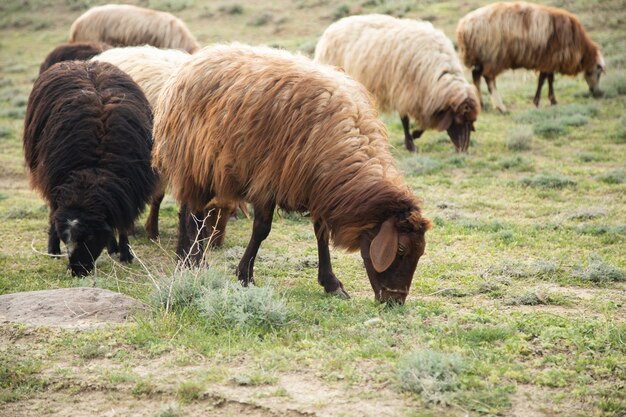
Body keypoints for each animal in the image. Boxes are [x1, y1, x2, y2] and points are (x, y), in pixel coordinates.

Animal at [24, 60, 156, 274]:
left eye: (91, 237)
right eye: (65, 238)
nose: (78, 271)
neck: (93, 171)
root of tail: (83, 62)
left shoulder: (126, 191)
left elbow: (122, 223)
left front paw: (125, 254)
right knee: (52, 210)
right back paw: (53, 251)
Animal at [154, 44, 432, 304]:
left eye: (419, 252)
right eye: (401, 250)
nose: (395, 301)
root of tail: (197, 59)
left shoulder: (316, 186)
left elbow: (321, 234)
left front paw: (331, 283)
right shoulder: (268, 180)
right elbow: (262, 230)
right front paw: (245, 276)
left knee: (187, 210)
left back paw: (184, 258)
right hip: (196, 163)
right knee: (195, 215)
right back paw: (197, 262)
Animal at [454, 1, 604, 112]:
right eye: (596, 73)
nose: (596, 93)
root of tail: (463, 27)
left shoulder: (548, 62)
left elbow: (547, 79)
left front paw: (549, 100)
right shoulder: (549, 60)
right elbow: (544, 80)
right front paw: (542, 101)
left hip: (481, 57)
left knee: (476, 75)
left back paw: (481, 103)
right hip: (493, 56)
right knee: (488, 78)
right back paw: (501, 107)